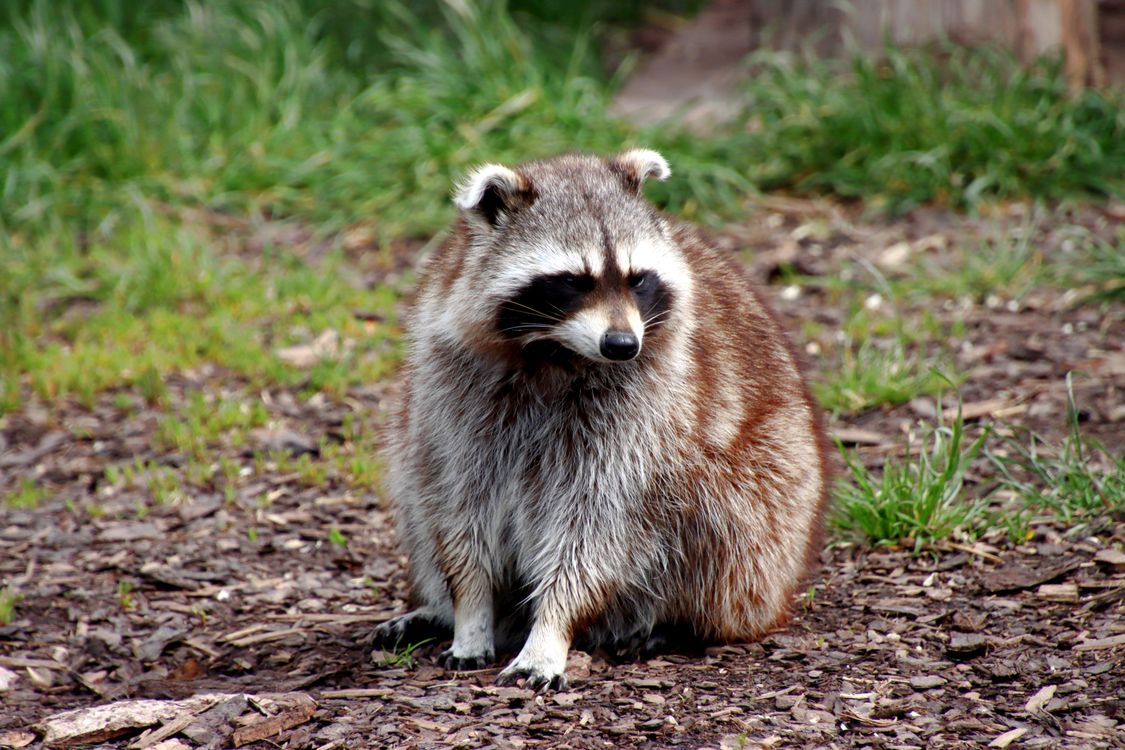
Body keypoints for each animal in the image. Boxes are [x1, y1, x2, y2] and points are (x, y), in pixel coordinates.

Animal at [375, 149, 829, 690]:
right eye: (573, 282)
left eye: (638, 278)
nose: (622, 344)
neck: (552, 354)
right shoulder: (453, 391)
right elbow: (458, 506)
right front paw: (469, 611)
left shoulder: (644, 412)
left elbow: (597, 525)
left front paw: (552, 628)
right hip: (411, 433)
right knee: (415, 491)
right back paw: (439, 611)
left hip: (772, 499)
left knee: (727, 520)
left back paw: (677, 622)